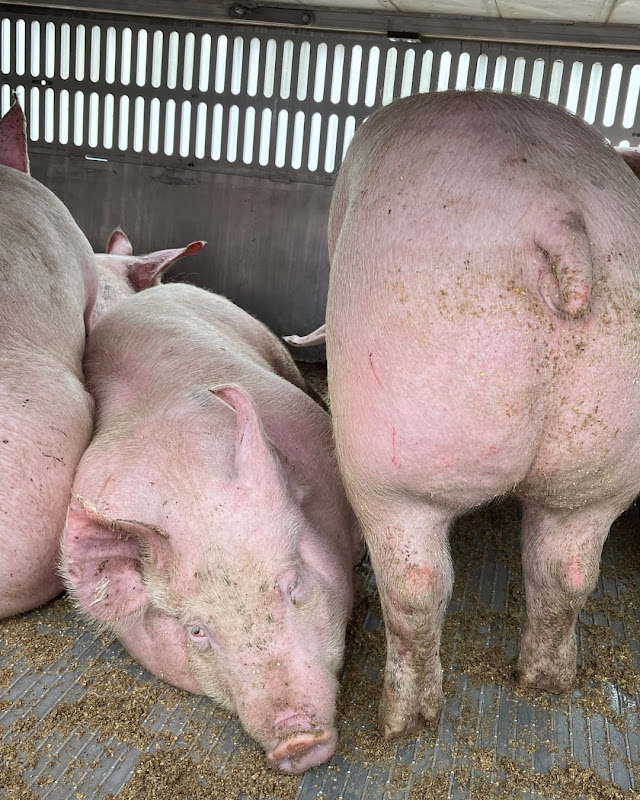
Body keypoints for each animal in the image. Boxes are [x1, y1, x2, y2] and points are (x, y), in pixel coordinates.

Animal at [323, 90, 640, 739]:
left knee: (417, 588)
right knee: (569, 572)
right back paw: (543, 680)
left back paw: (401, 722)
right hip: (605, 459)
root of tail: (559, 218)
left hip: (394, 451)